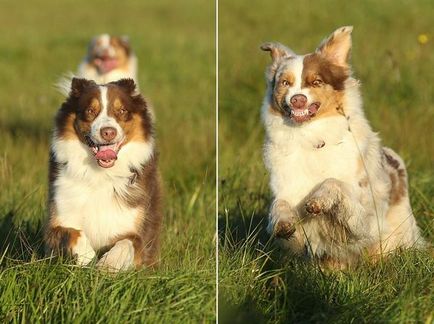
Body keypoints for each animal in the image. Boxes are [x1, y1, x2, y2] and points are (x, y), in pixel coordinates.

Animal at [44, 76, 163, 270]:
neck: (101, 174)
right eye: (90, 110)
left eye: (122, 110)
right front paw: (87, 256)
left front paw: (108, 265)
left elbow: (126, 243)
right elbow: (72, 233)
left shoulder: (138, 234)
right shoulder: (56, 222)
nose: (108, 132)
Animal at [262, 26, 424, 268]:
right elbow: (279, 204)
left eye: (316, 82)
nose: (297, 100)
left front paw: (318, 200)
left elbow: (333, 182)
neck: (311, 137)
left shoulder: (363, 217)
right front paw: (282, 222)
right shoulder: (289, 195)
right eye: (285, 83)